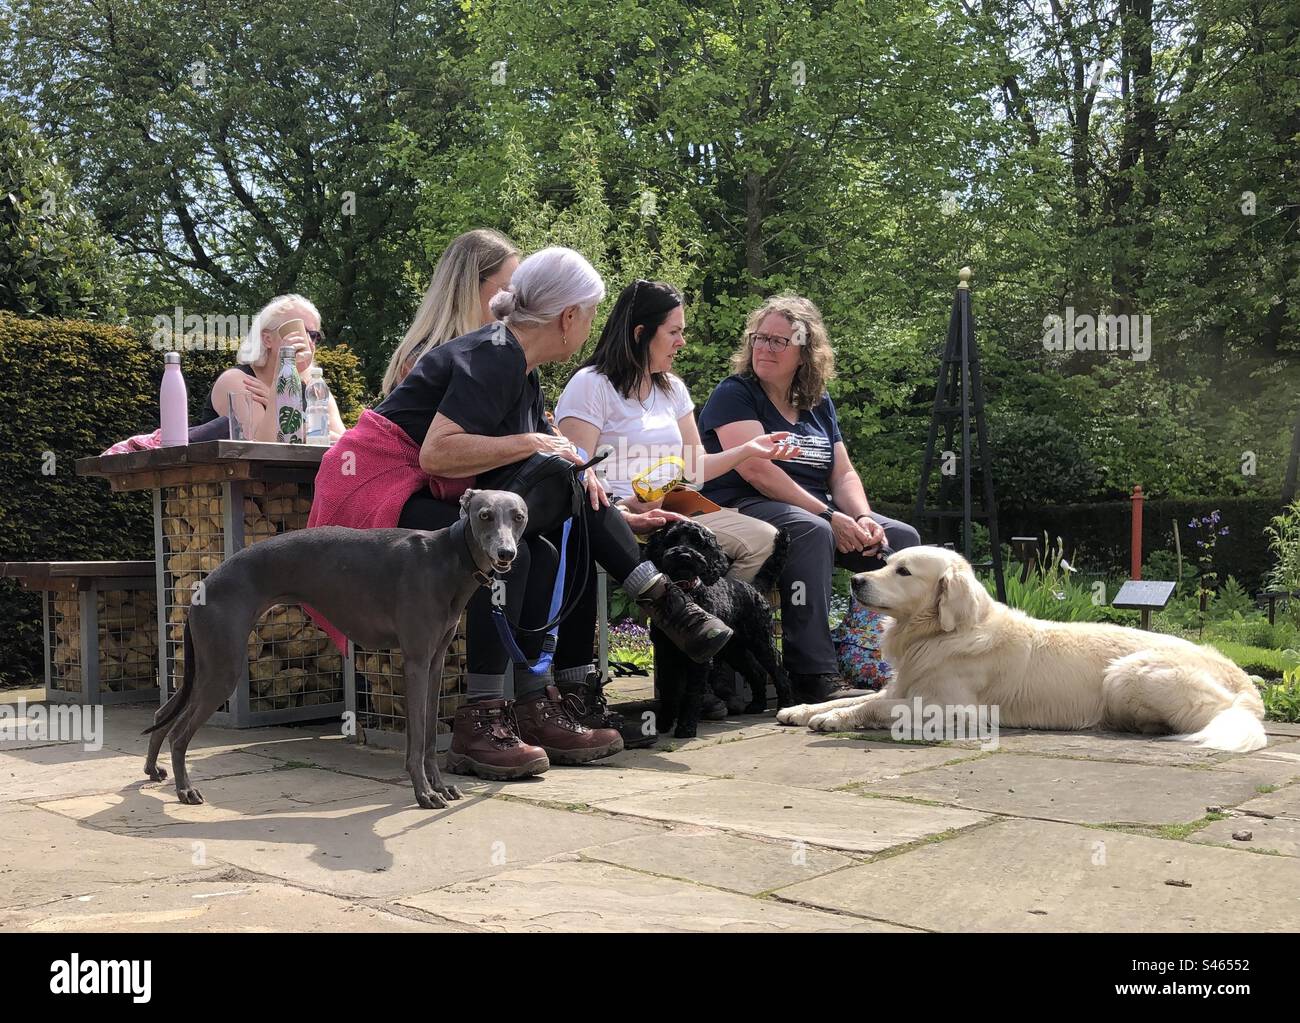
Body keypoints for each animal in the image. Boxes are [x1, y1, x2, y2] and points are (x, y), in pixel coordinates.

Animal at [142, 488, 527, 805]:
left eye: (519, 516)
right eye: (484, 515)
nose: (506, 553)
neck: (447, 555)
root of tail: (202, 586)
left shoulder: (434, 663)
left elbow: (431, 734)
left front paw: (440, 786)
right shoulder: (415, 660)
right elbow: (417, 738)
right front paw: (424, 793)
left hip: (207, 665)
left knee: (163, 714)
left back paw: (153, 770)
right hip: (223, 667)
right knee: (179, 733)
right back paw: (185, 790)